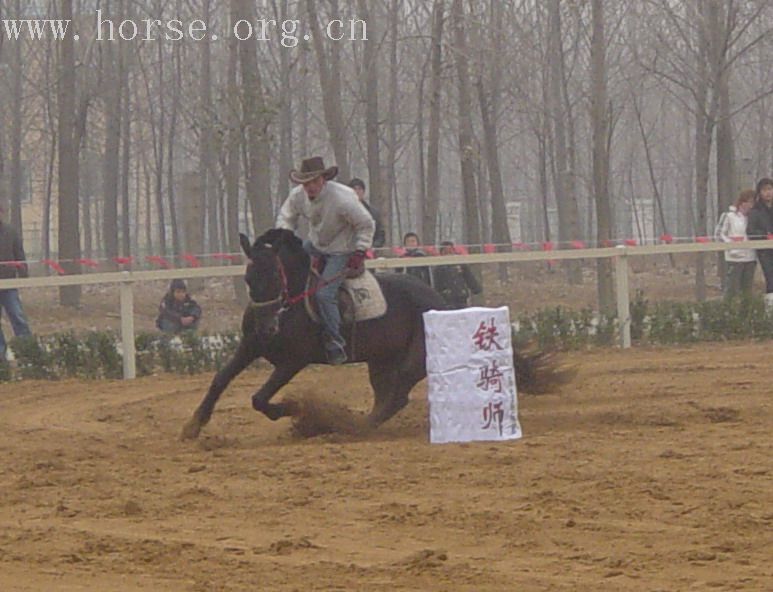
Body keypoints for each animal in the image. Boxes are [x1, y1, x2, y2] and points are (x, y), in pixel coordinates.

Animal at [182, 228, 560, 440]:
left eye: (275, 277)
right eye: (249, 279)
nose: (267, 326)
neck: (291, 304)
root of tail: (440, 304)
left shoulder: (292, 361)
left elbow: (260, 398)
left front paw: (291, 408)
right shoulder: (250, 346)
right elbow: (220, 379)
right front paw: (193, 426)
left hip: (411, 361)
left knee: (396, 397)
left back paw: (349, 426)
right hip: (380, 362)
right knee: (387, 396)